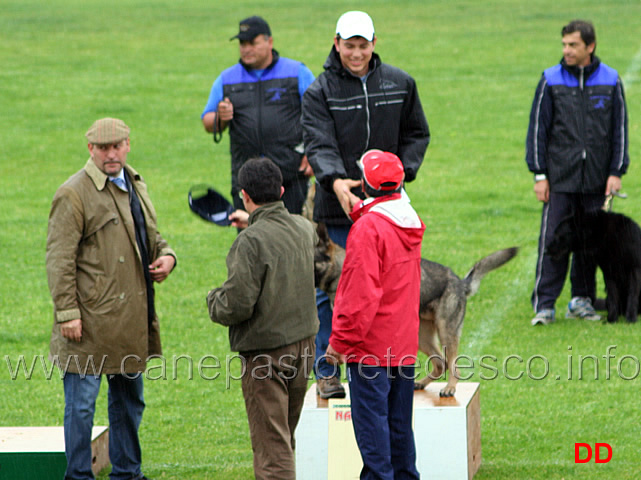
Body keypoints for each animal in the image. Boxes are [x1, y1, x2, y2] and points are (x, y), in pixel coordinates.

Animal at [316, 223, 520, 396]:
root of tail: (460, 283)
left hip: (446, 333)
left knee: (454, 366)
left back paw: (450, 388)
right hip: (423, 337)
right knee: (441, 364)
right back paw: (421, 383)